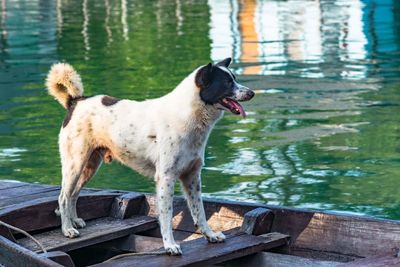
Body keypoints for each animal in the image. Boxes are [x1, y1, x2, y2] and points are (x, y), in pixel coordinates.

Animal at [46, 58, 253, 255]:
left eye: (234, 79)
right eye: (227, 83)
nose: (252, 93)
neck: (187, 114)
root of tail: (75, 101)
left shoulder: (192, 176)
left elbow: (199, 211)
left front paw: (210, 235)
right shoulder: (166, 177)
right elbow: (167, 215)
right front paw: (169, 245)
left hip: (89, 166)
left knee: (73, 194)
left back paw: (74, 221)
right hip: (75, 163)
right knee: (63, 196)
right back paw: (67, 229)